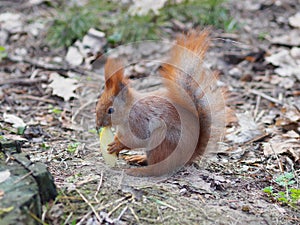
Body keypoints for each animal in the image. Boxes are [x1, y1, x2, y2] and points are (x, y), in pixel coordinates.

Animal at [96, 29, 227, 177]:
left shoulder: (138, 120)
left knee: (158, 168)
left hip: (162, 140)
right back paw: (139, 158)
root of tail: (188, 156)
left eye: (110, 110)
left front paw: (117, 145)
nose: (97, 125)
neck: (128, 109)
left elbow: (136, 139)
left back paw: (139, 170)